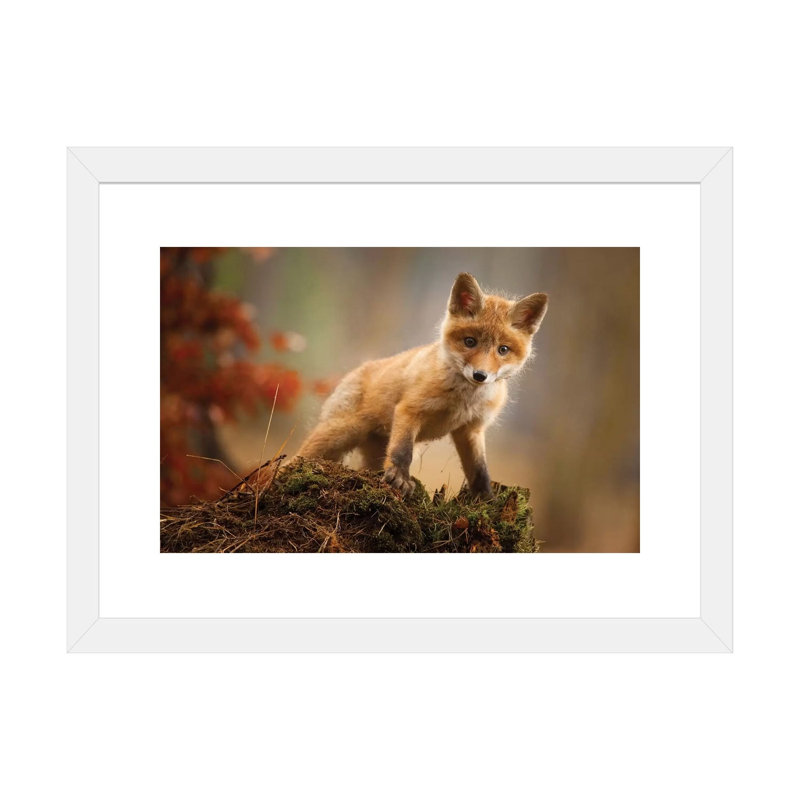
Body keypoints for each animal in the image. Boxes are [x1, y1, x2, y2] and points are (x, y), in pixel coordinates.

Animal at [296, 273, 548, 498]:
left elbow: (479, 470)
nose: (480, 375)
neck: (463, 400)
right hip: (339, 434)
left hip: (372, 452)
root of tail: (356, 370)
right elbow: (402, 451)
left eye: (503, 349)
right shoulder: (409, 410)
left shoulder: (471, 429)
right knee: (298, 457)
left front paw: (485, 500)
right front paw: (400, 478)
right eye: (470, 342)